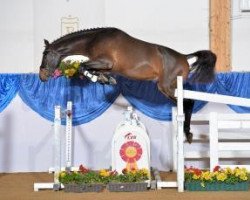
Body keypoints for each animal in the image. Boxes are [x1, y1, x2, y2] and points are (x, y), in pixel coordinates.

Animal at [39, 27, 217, 144]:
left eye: (45, 54)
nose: (41, 76)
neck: (93, 40)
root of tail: (184, 57)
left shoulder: (106, 62)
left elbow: (83, 67)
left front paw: (100, 79)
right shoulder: (104, 66)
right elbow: (90, 70)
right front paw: (105, 79)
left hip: (166, 87)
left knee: (188, 103)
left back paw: (188, 133)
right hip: (169, 88)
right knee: (187, 104)